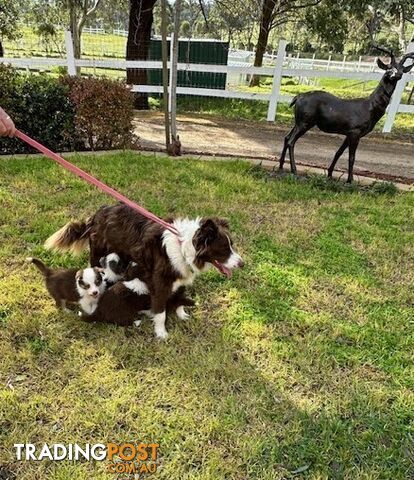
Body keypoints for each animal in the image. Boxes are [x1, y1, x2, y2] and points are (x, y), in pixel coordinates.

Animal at [43, 204, 244, 340]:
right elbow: (161, 313)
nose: (242, 264)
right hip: (97, 253)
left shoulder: (181, 279)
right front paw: (161, 333)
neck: (183, 246)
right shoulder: (160, 284)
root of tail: (96, 214)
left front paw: (182, 315)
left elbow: (179, 299)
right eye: (224, 249)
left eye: (232, 245)